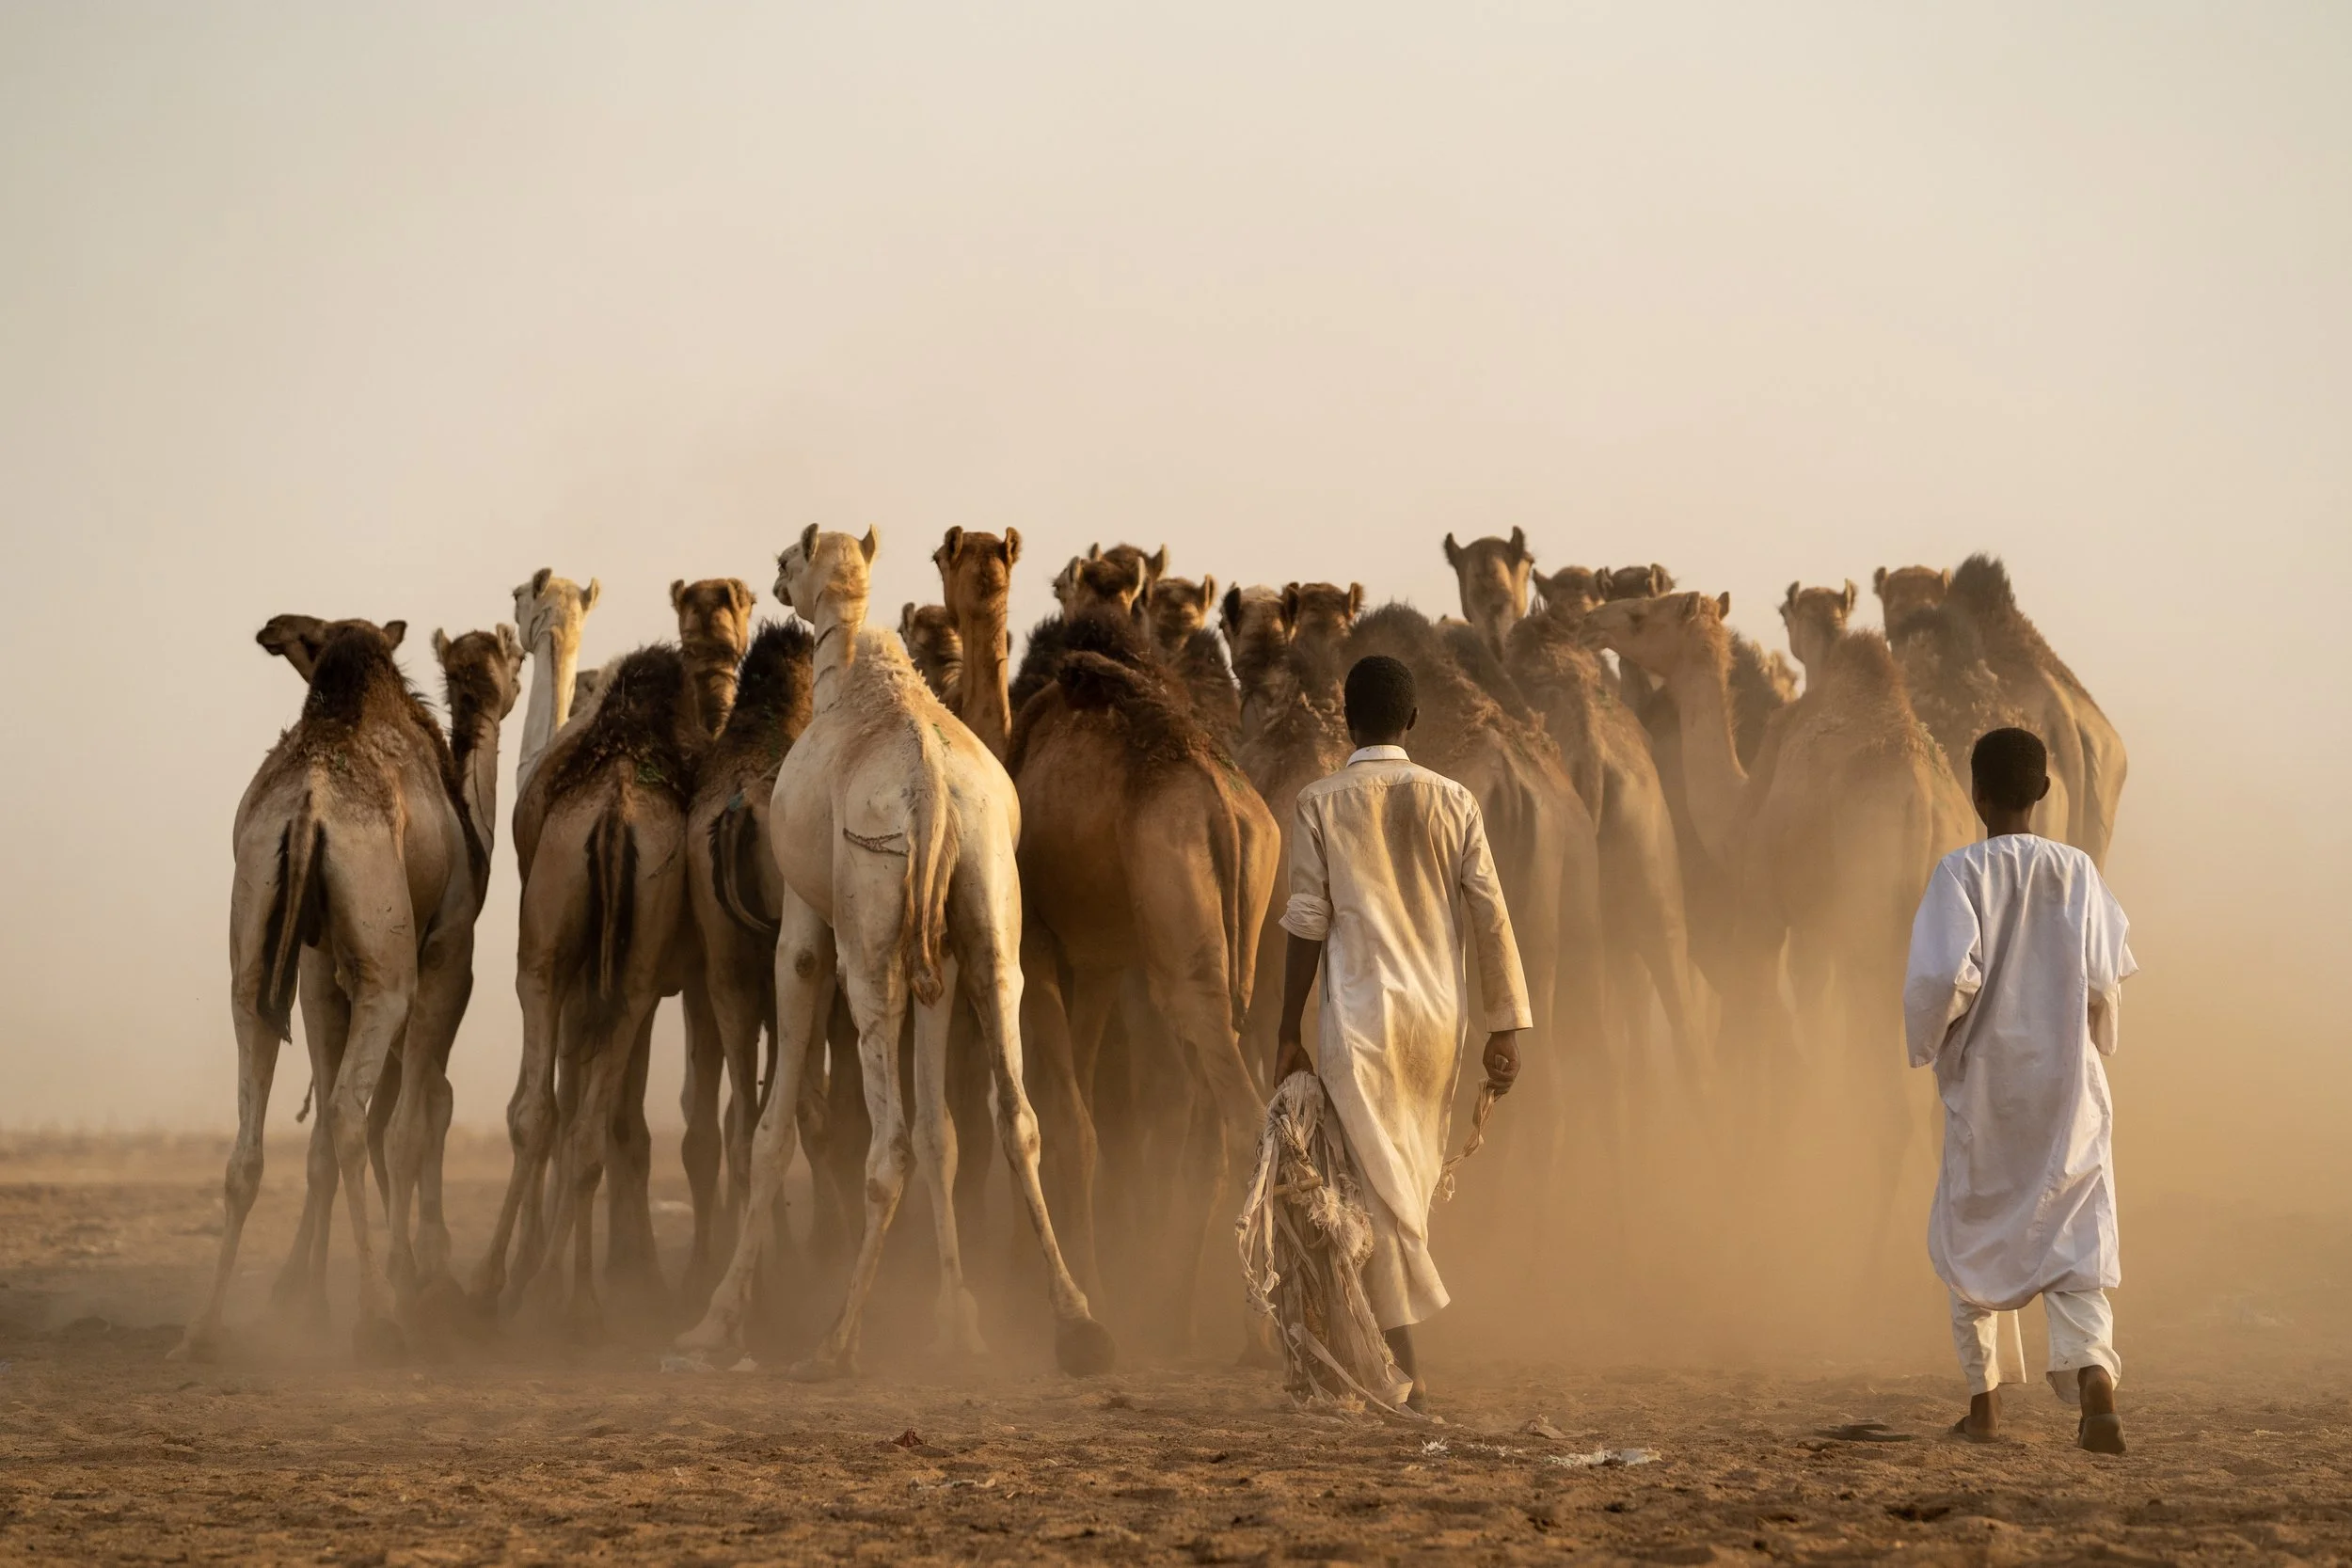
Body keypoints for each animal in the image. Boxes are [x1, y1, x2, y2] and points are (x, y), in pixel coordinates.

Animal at [183, 616, 516, 1362]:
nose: (275, 632)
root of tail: (309, 806)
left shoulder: (316, 974)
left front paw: (307, 1295)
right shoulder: (449, 951)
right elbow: (421, 1115)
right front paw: (417, 1276)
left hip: (255, 947)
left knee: (252, 1139)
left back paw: (208, 1328)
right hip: (389, 969)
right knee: (350, 1116)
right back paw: (379, 1315)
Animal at [680, 526, 1113, 1377]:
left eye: (792, 556)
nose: (776, 575)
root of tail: (932, 787)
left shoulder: (806, 921)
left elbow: (773, 1132)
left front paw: (714, 1325)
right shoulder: (940, 956)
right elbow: (944, 1134)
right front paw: (958, 1323)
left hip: (871, 941)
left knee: (887, 1148)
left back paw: (835, 1341)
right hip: (988, 919)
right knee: (1015, 1117)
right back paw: (1077, 1321)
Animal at [1004, 584, 1280, 1349]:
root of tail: (1224, 807)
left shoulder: (1039, 944)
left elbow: (1072, 1123)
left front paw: (1089, 1302)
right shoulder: (1100, 957)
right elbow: (1085, 1113)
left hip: (1176, 924)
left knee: (1244, 1117)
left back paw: (1261, 1330)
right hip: (1229, 950)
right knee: (1212, 1126)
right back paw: (1187, 1317)